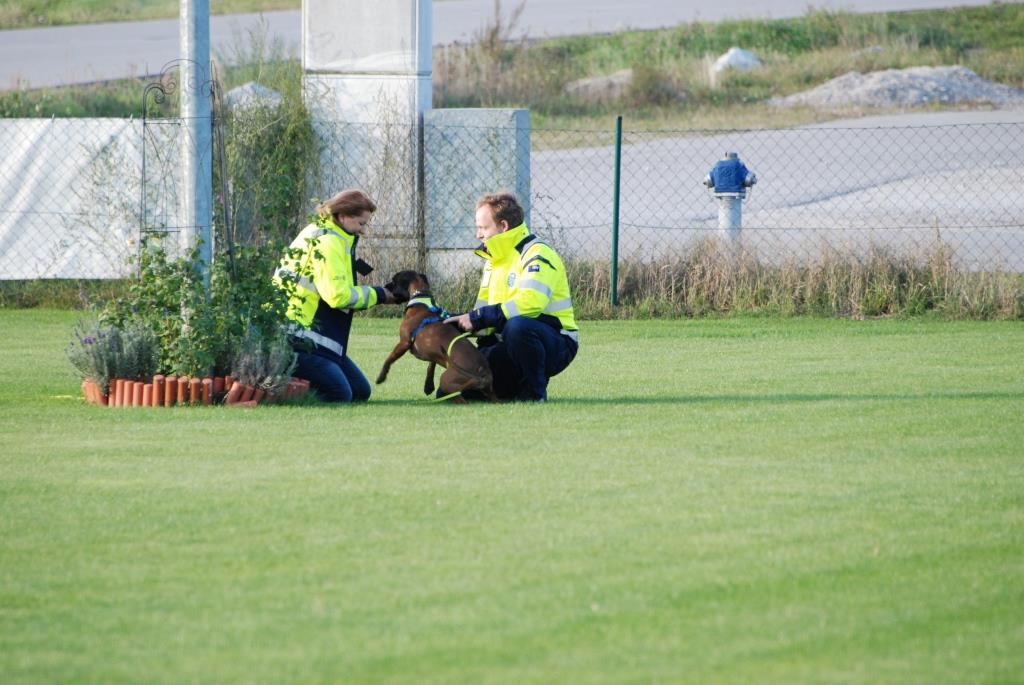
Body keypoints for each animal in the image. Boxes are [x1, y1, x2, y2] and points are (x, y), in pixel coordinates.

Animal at [380, 270, 499, 403]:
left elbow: (389, 358)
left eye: (394, 281)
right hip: (489, 393)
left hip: (446, 381)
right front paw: (428, 385)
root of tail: (482, 372)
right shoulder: (433, 352)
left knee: (462, 400)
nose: (385, 286)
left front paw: (381, 376)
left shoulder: (403, 343)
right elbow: (431, 366)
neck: (420, 297)